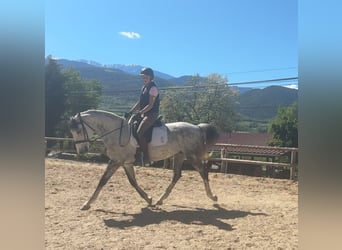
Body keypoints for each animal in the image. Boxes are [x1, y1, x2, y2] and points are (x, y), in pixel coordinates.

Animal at [69, 109, 219, 209]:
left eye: (78, 130)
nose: (82, 151)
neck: (116, 132)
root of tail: (197, 127)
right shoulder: (125, 163)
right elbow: (133, 182)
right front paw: (148, 199)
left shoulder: (116, 161)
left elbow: (102, 180)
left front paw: (87, 203)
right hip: (179, 155)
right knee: (176, 175)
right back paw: (159, 200)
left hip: (191, 155)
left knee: (203, 172)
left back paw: (212, 197)